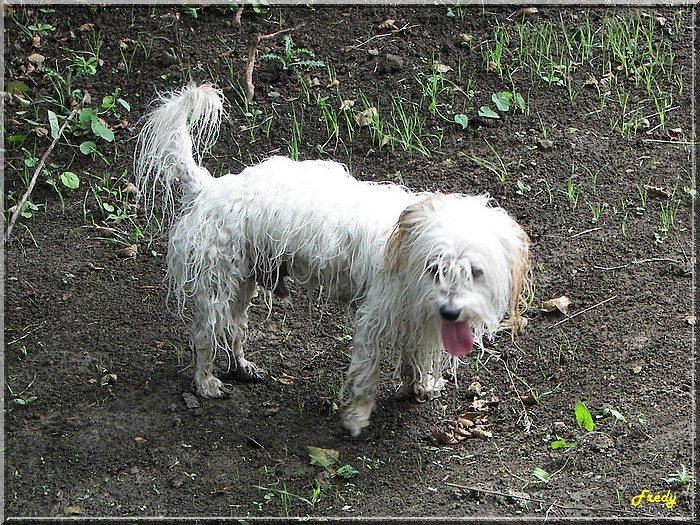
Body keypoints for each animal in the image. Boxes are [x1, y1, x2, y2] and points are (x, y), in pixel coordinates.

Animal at [135, 84, 532, 436]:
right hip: (217, 285)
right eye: (435, 268)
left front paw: (420, 386)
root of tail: (207, 186)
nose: (451, 311)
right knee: (205, 334)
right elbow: (367, 373)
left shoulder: (415, 317)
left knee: (234, 326)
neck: (405, 252)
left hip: (244, 280)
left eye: (475, 272)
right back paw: (205, 381)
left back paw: (241, 366)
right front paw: (356, 418)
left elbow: (415, 358)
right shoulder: (373, 321)